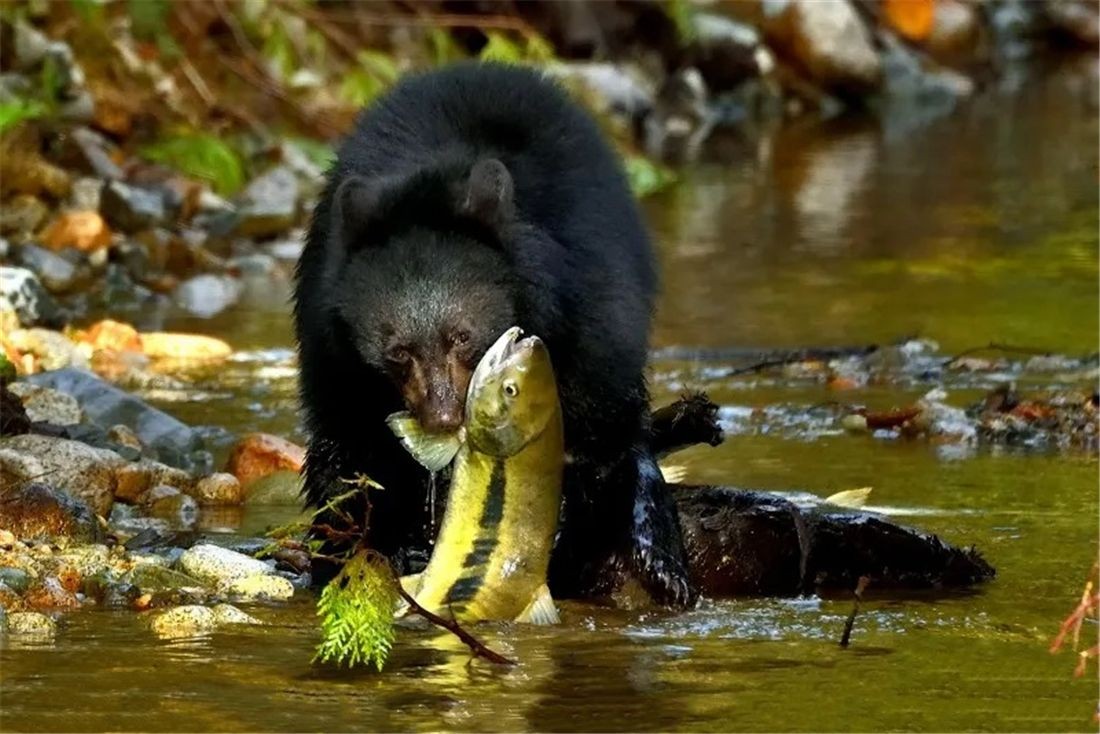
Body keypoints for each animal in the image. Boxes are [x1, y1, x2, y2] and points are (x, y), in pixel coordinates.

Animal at [297, 58, 690, 607]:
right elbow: (350, 451)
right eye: (398, 352)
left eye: (462, 336)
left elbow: (603, 429)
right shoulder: (331, 348)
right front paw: (368, 548)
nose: (442, 419)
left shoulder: (591, 304)